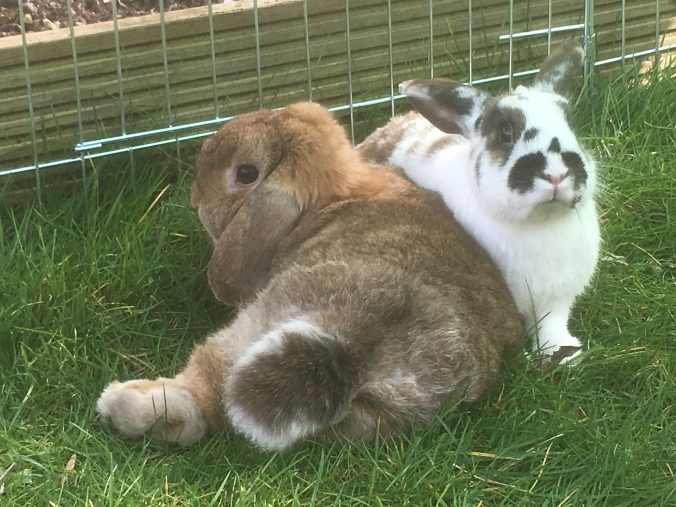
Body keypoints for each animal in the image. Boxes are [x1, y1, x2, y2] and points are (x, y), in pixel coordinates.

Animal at [96, 102, 524, 450]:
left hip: (254, 328)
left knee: (204, 397)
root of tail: (362, 339)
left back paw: (121, 402)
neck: (333, 198)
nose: (195, 197)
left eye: (246, 173)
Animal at [358, 40, 600, 364]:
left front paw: (564, 354)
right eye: (506, 133)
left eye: (570, 123)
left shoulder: (557, 300)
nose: (556, 175)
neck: (541, 223)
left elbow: (552, 326)